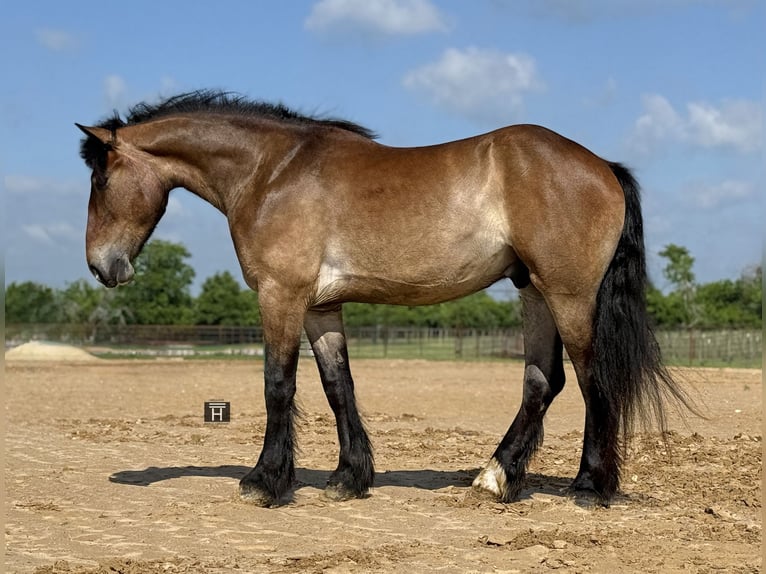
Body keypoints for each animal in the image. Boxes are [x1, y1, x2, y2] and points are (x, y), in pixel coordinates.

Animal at [77, 90, 691, 507]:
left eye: (100, 180)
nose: (103, 266)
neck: (272, 172)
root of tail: (602, 166)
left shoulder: (281, 296)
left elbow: (278, 386)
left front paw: (265, 481)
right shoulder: (320, 307)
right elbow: (338, 387)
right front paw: (348, 478)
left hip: (568, 296)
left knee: (592, 379)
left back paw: (589, 486)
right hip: (533, 293)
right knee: (544, 381)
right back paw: (496, 476)